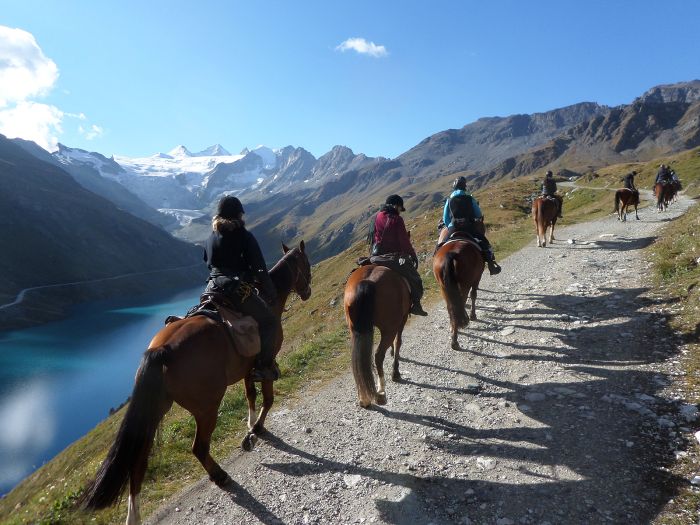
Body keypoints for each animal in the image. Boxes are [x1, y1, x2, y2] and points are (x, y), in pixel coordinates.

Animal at [80, 242, 312, 524]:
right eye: (306, 263)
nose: (307, 292)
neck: (269, 299)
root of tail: (162, 350)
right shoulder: (267, 363)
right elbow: (267, 399)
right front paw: (256, 430)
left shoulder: (248, 369)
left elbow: (250, 396)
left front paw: (250, 427)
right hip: (206, 408)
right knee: (199, 447)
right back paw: (220, 476)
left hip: (156, 410)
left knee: (138, 462)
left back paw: (133, 513)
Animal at [344, 264, 410, 408]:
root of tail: (367, 281)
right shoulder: (402, 319)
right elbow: (398, 342)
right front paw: (395, 372)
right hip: (389, 328)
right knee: (378, 355)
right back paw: (381, 392)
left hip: (354, 330)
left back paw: (363, 399)